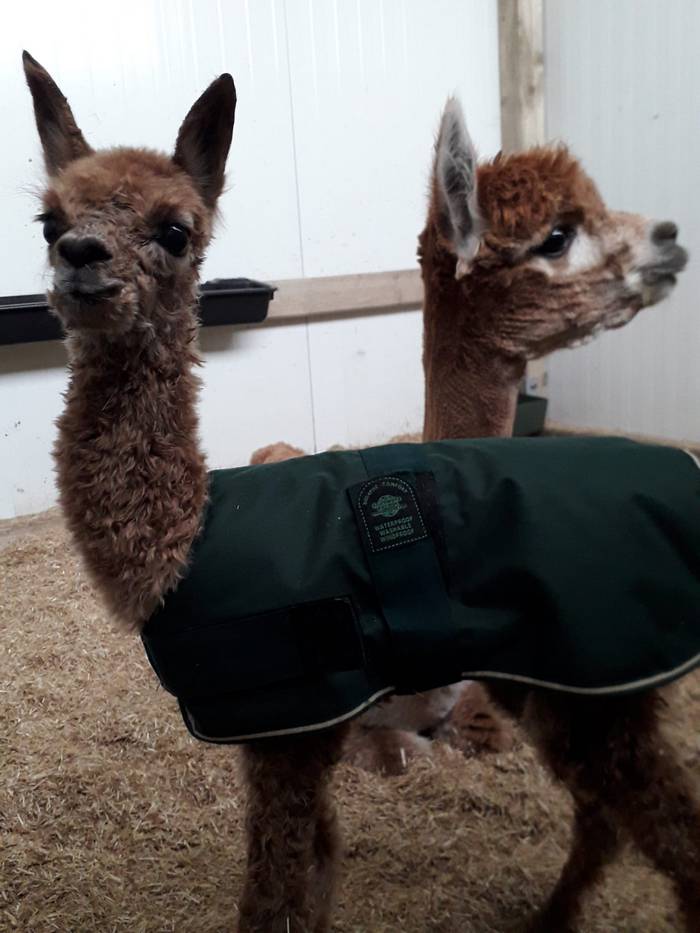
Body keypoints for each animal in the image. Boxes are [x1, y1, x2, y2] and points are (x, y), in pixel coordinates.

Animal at [24, 48, 699, 933]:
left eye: (176, 229)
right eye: (48, 221)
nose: (80, 254)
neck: (185, 541)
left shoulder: (289, 728)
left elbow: (273, 896)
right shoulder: (300, 735)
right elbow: (316, 873)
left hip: (600, 677)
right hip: (568, 684)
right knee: (604, 817)